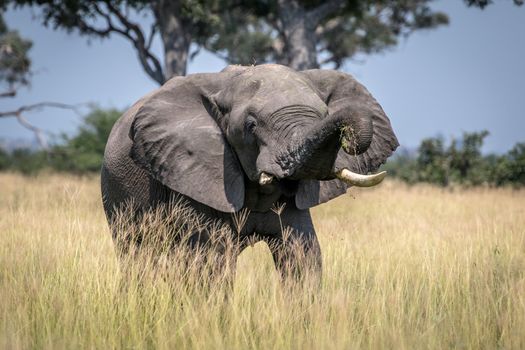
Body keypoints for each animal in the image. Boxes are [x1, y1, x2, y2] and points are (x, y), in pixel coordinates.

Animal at [101, 63, 398, 282]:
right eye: (251, 126)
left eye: (324, 114)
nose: (347, 129)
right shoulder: (196, 177)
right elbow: (213, 260)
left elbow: (303, 255)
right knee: (139, 256)